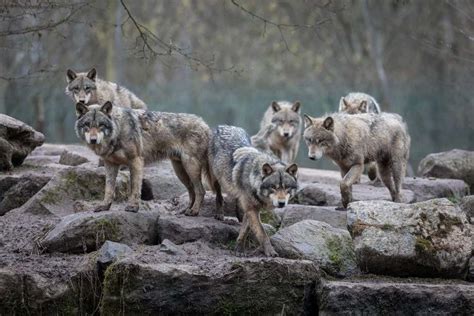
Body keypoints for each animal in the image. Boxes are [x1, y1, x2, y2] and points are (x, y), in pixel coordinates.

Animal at [74, 101, 211, 215]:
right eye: (87, 125)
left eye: (101, 125)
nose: (93, 140)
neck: (118, 130)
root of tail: (205, 124)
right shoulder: (110, 164)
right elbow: (108, 188)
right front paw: (104, 206)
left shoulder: (136, 161)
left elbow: (135, 187)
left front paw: (133, 207)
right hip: (180, 171)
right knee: (192, 191)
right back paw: (186, 210)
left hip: (190, 167)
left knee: (200, 190)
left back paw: (194, 211)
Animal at [209, 124, 298, 256]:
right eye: (273, 187)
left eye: (286, 187)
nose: (282, 203)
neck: (253, 179)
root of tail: (225, 126)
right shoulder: (252, 208)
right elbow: (262, 233)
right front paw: (270, 252)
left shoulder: (251, 208)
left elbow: (245, 230)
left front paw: (239, 248)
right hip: (215, 177)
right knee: (219, 195)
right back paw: (219, 214)